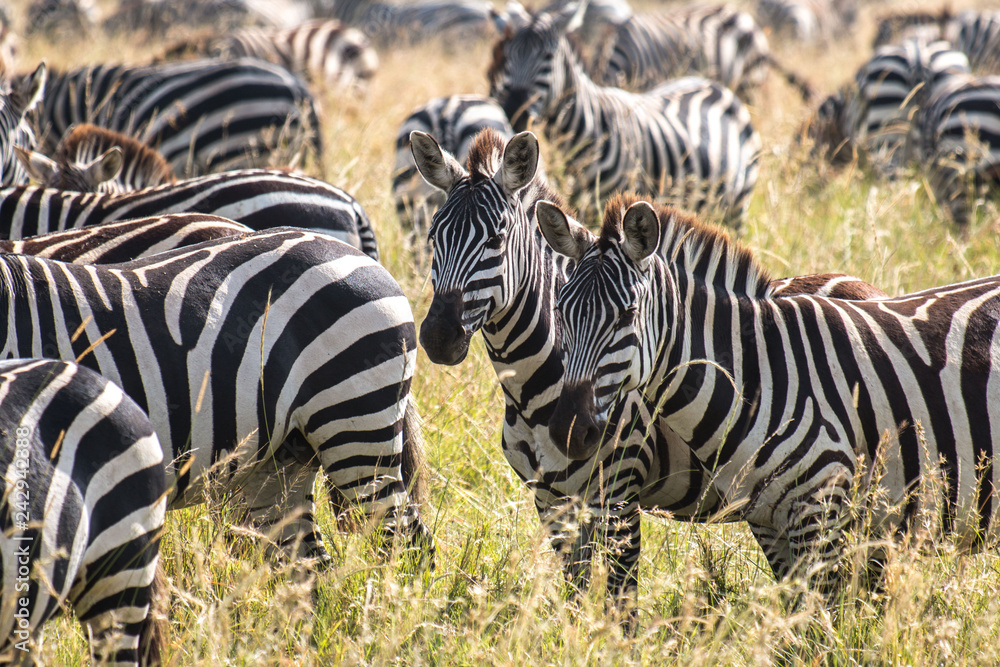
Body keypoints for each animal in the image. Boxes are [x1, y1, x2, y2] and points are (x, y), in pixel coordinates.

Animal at [410, 128, 889, 603]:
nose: (437, 336)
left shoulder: (619, 497)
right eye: (433, 237)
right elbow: (577, 599)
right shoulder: (552, 503)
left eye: (496, 238)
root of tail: (864, 286)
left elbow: (620, 601)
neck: (534, 390)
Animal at [487, 3, 761, 227]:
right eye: (508, 57)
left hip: (739, 205)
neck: (590, 130)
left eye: (548, 57)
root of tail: (715, 86)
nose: (513, 110)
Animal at [537, 191, 1000, 590]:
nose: (566, 430)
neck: (758, 374)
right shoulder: (767, 520)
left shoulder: (822, 508)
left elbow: (822, 622)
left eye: (627, 314)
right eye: (559, 309)